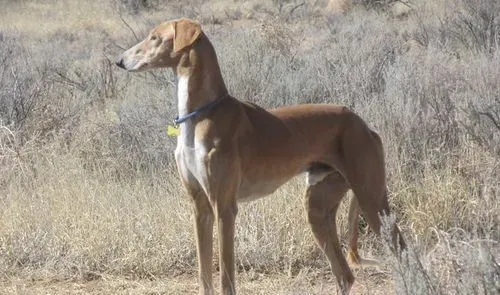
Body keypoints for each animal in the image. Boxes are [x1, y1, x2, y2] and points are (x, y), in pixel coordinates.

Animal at [117, 19, 406, 295]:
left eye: (155, 37)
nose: (119, 61)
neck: (200, 115)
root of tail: (364, 124)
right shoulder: (200, 207)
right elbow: (204, 275)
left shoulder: (224, 208)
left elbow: (226, 278)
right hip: (318, 207)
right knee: (345, 275)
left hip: (372, 200)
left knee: (403, 252)